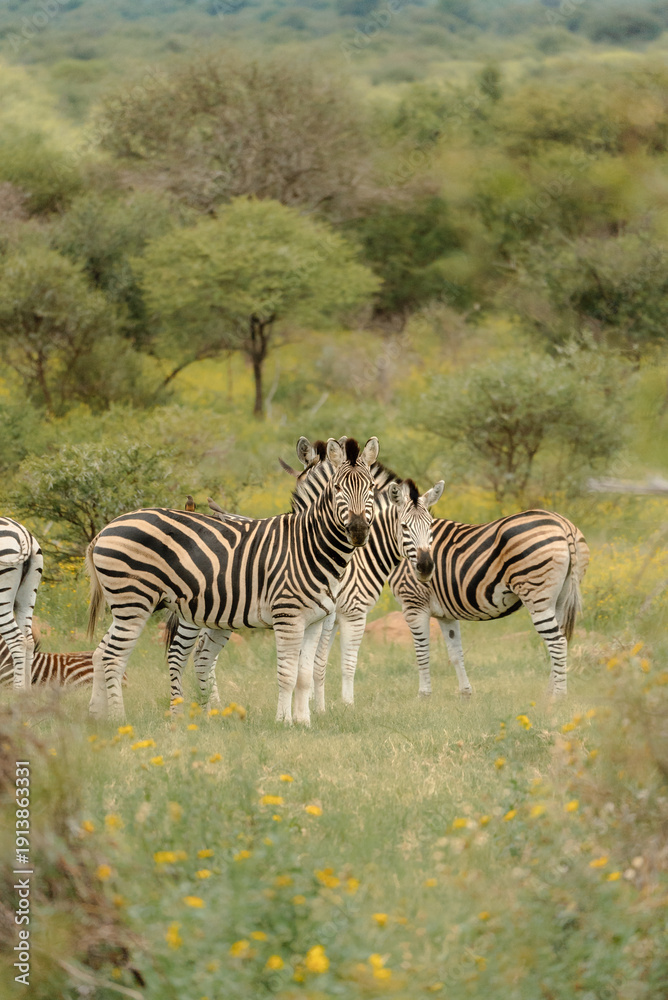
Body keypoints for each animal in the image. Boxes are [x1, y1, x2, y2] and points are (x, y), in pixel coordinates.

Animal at [86, 437, 380, 723]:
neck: (308, 545)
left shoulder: (316, 622)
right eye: (338, 488)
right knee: (117, 658)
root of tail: (105, 529)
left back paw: (97, 716)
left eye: (371, 488)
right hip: (135, 602)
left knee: (101, 653)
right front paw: (284, 722)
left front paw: (304, 722)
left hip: (132, 606)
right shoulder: (288, 617)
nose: (358, 530)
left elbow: (305, 675)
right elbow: (287, 674)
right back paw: (120, 719)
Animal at [281, 437, 444, 711]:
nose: (425, 567)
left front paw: (314, 704)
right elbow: (341, 663)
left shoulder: (332, 618)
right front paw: (345, 706)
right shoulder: (351, 614)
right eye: (404, 527)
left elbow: (314, 661)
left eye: (430, 526)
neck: (361, 560)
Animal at [388, 510, 589, 698]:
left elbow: (421, 653)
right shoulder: (444, 614)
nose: (426, 568)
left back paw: (557, 697)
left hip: (538, 597)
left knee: (558, 642)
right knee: (560, 640)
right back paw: (549, 693)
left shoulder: (414, 603)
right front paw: (465, 694)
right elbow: (455, 654)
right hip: (561, 599)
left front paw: (423, 695)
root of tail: (562, 523)